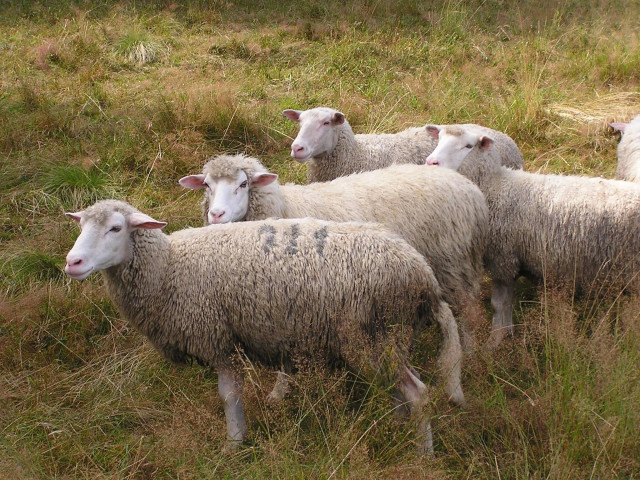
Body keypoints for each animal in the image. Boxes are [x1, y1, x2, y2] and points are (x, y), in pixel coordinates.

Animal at [64, 199, 465, 455]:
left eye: (116, 227)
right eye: (81, 226)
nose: (72, 262)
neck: (169, 268)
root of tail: (424, 275)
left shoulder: (217, 338)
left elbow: (228, 395)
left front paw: (234, 443)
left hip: (376, 336)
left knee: (418, 393)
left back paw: (422, 454)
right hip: (388, 338)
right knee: (399, 388)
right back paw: (397, 429)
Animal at [424, 124, 640, 347]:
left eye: (468, 146)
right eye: (439, 139)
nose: (431, 162)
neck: (494, 187)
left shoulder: (503, 258)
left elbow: (498, 303)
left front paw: (495, 339)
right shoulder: (509, 259)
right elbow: (506, 302)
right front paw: (506, 332)